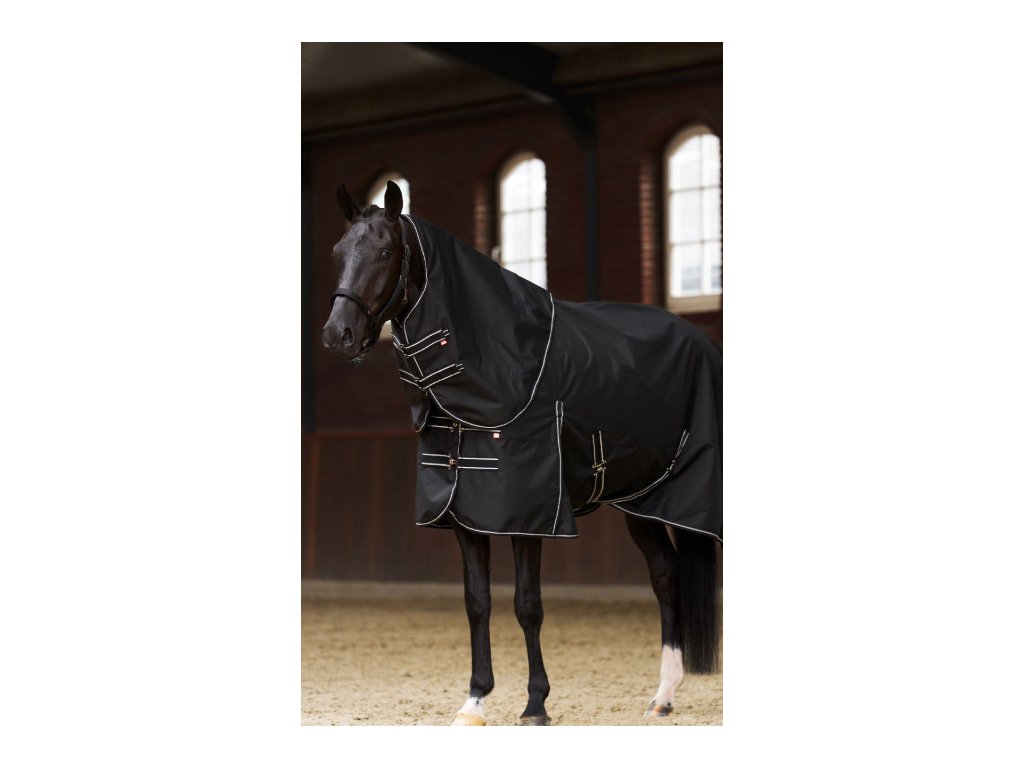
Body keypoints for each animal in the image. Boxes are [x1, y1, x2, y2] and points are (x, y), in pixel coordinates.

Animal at [322, 180, 722, 725]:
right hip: (640, 500)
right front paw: (474, 701)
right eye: (339, 251)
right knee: (666, 576)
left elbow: (527, 604)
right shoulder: (465, 513)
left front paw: (536, 703)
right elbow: (477, 602)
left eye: (385, 251)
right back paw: (662, 696)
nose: (337, 335)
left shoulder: (529, 514)